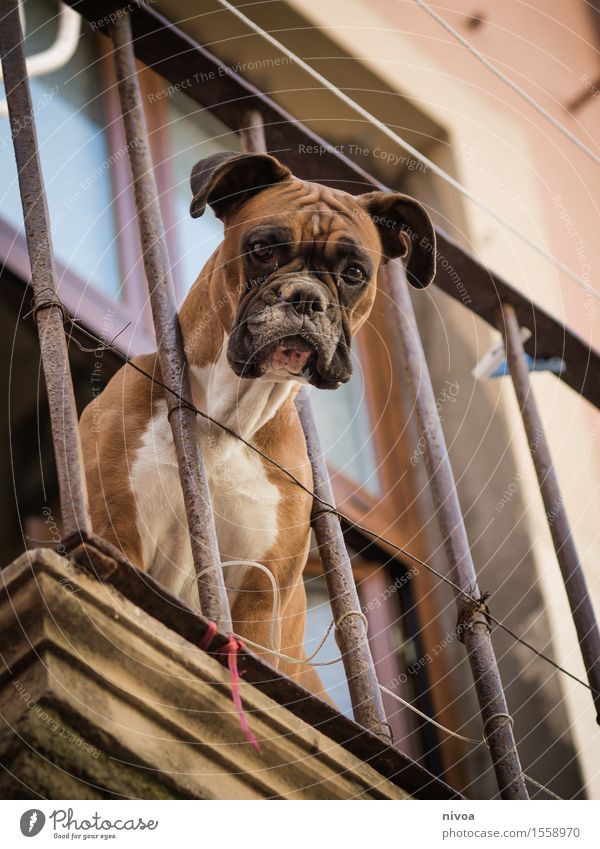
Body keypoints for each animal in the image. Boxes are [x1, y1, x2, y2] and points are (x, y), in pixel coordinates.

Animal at [81, 152, 436, 696]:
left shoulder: (257, 600)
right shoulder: (116, 531)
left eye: (354, 272)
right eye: (263, 249)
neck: (226, 419)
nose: (306, 297)